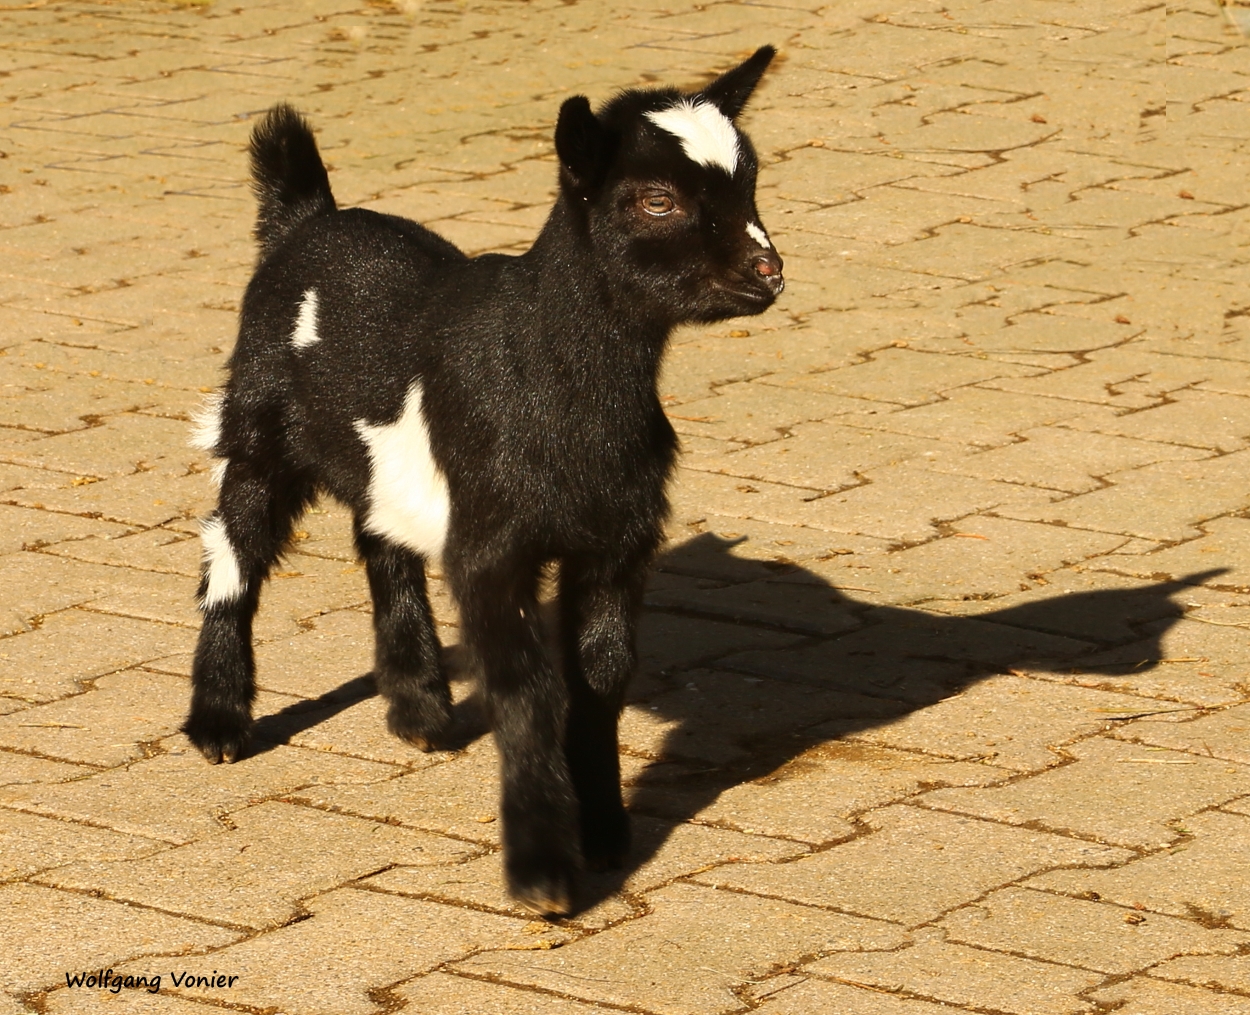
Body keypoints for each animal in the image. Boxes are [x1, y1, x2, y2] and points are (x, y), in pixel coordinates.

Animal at [187, 47, 780, 915]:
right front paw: (543, 873)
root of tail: (308, 216)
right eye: (657, 199)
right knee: (235, 551)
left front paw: (606, 834)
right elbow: (528, 689)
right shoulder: (494, 545)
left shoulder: (616, 541)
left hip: (384, 463)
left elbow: (600, 677)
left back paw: (421, 709)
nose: (766, 271)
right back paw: (219, 724)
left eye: (750, 180)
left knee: (382, 538)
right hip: (259, 417)